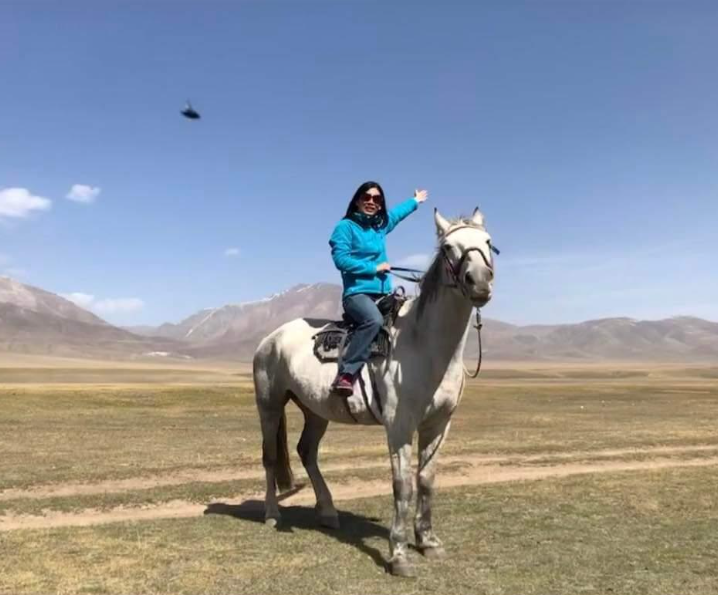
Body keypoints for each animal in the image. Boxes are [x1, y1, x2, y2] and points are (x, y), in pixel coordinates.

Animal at [252, 210, 496, 576]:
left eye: (487, 242)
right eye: (448, 247)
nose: (480, 281)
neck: (426, 345)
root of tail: (270, 338)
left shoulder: (439, 424)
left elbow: (427, 479)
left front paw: (428, 541)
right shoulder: (399, 426)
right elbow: (403, 485)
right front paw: (399, 554)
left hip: (316, 411)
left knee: (307, 451)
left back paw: (328, 512)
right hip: (269, 405)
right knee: (269, 457)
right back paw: (271, 514)